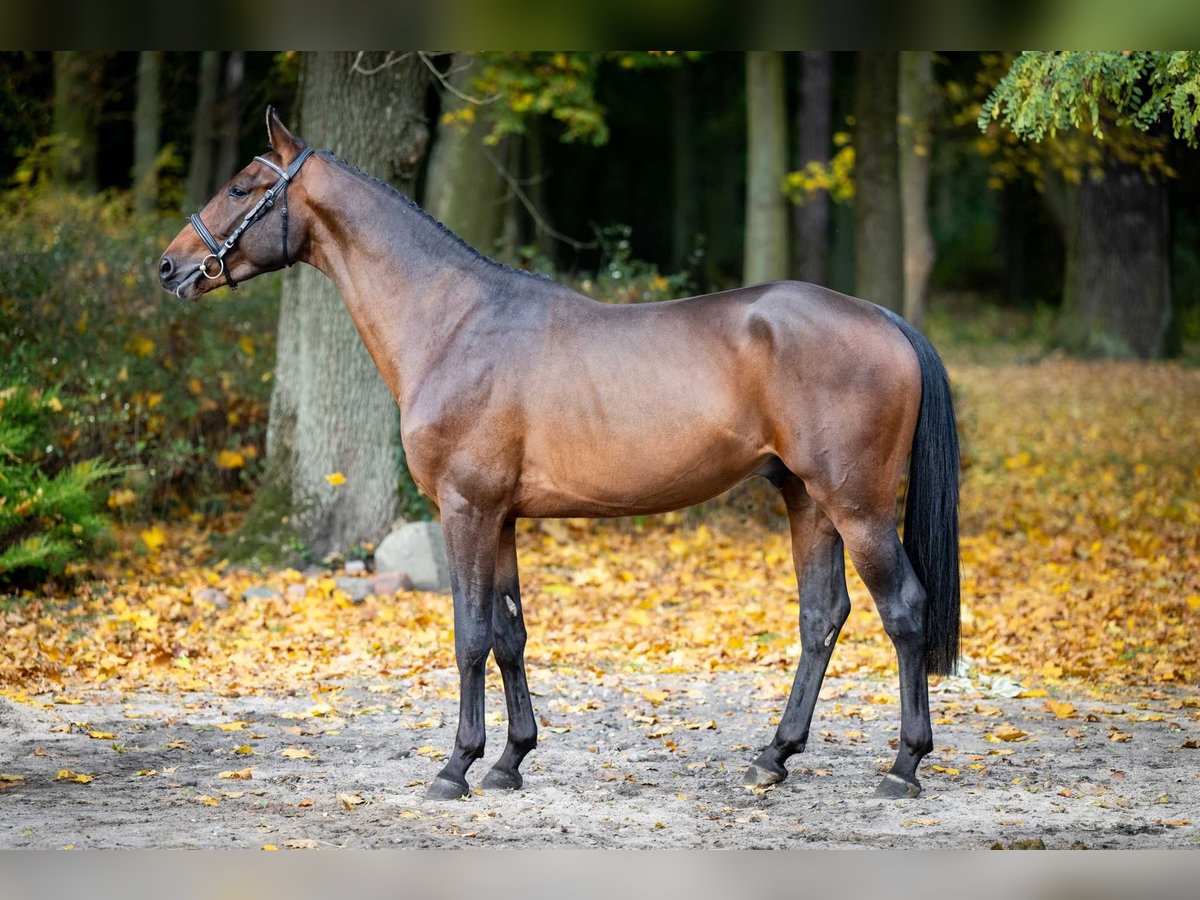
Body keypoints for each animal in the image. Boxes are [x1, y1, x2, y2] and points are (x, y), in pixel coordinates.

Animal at [162, 109, 964, 806]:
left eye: (241, 186)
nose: (171, 267)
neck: (453, 322)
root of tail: (882, 318)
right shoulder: (501, 517)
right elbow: (509, 635)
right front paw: (510, 760)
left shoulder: (465, 510)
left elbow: (469, 636)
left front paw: (455, 766)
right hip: (806, 499)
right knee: (821, 615)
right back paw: (773, 756)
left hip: (856, 506)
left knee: (903, 610)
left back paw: (903, 765)